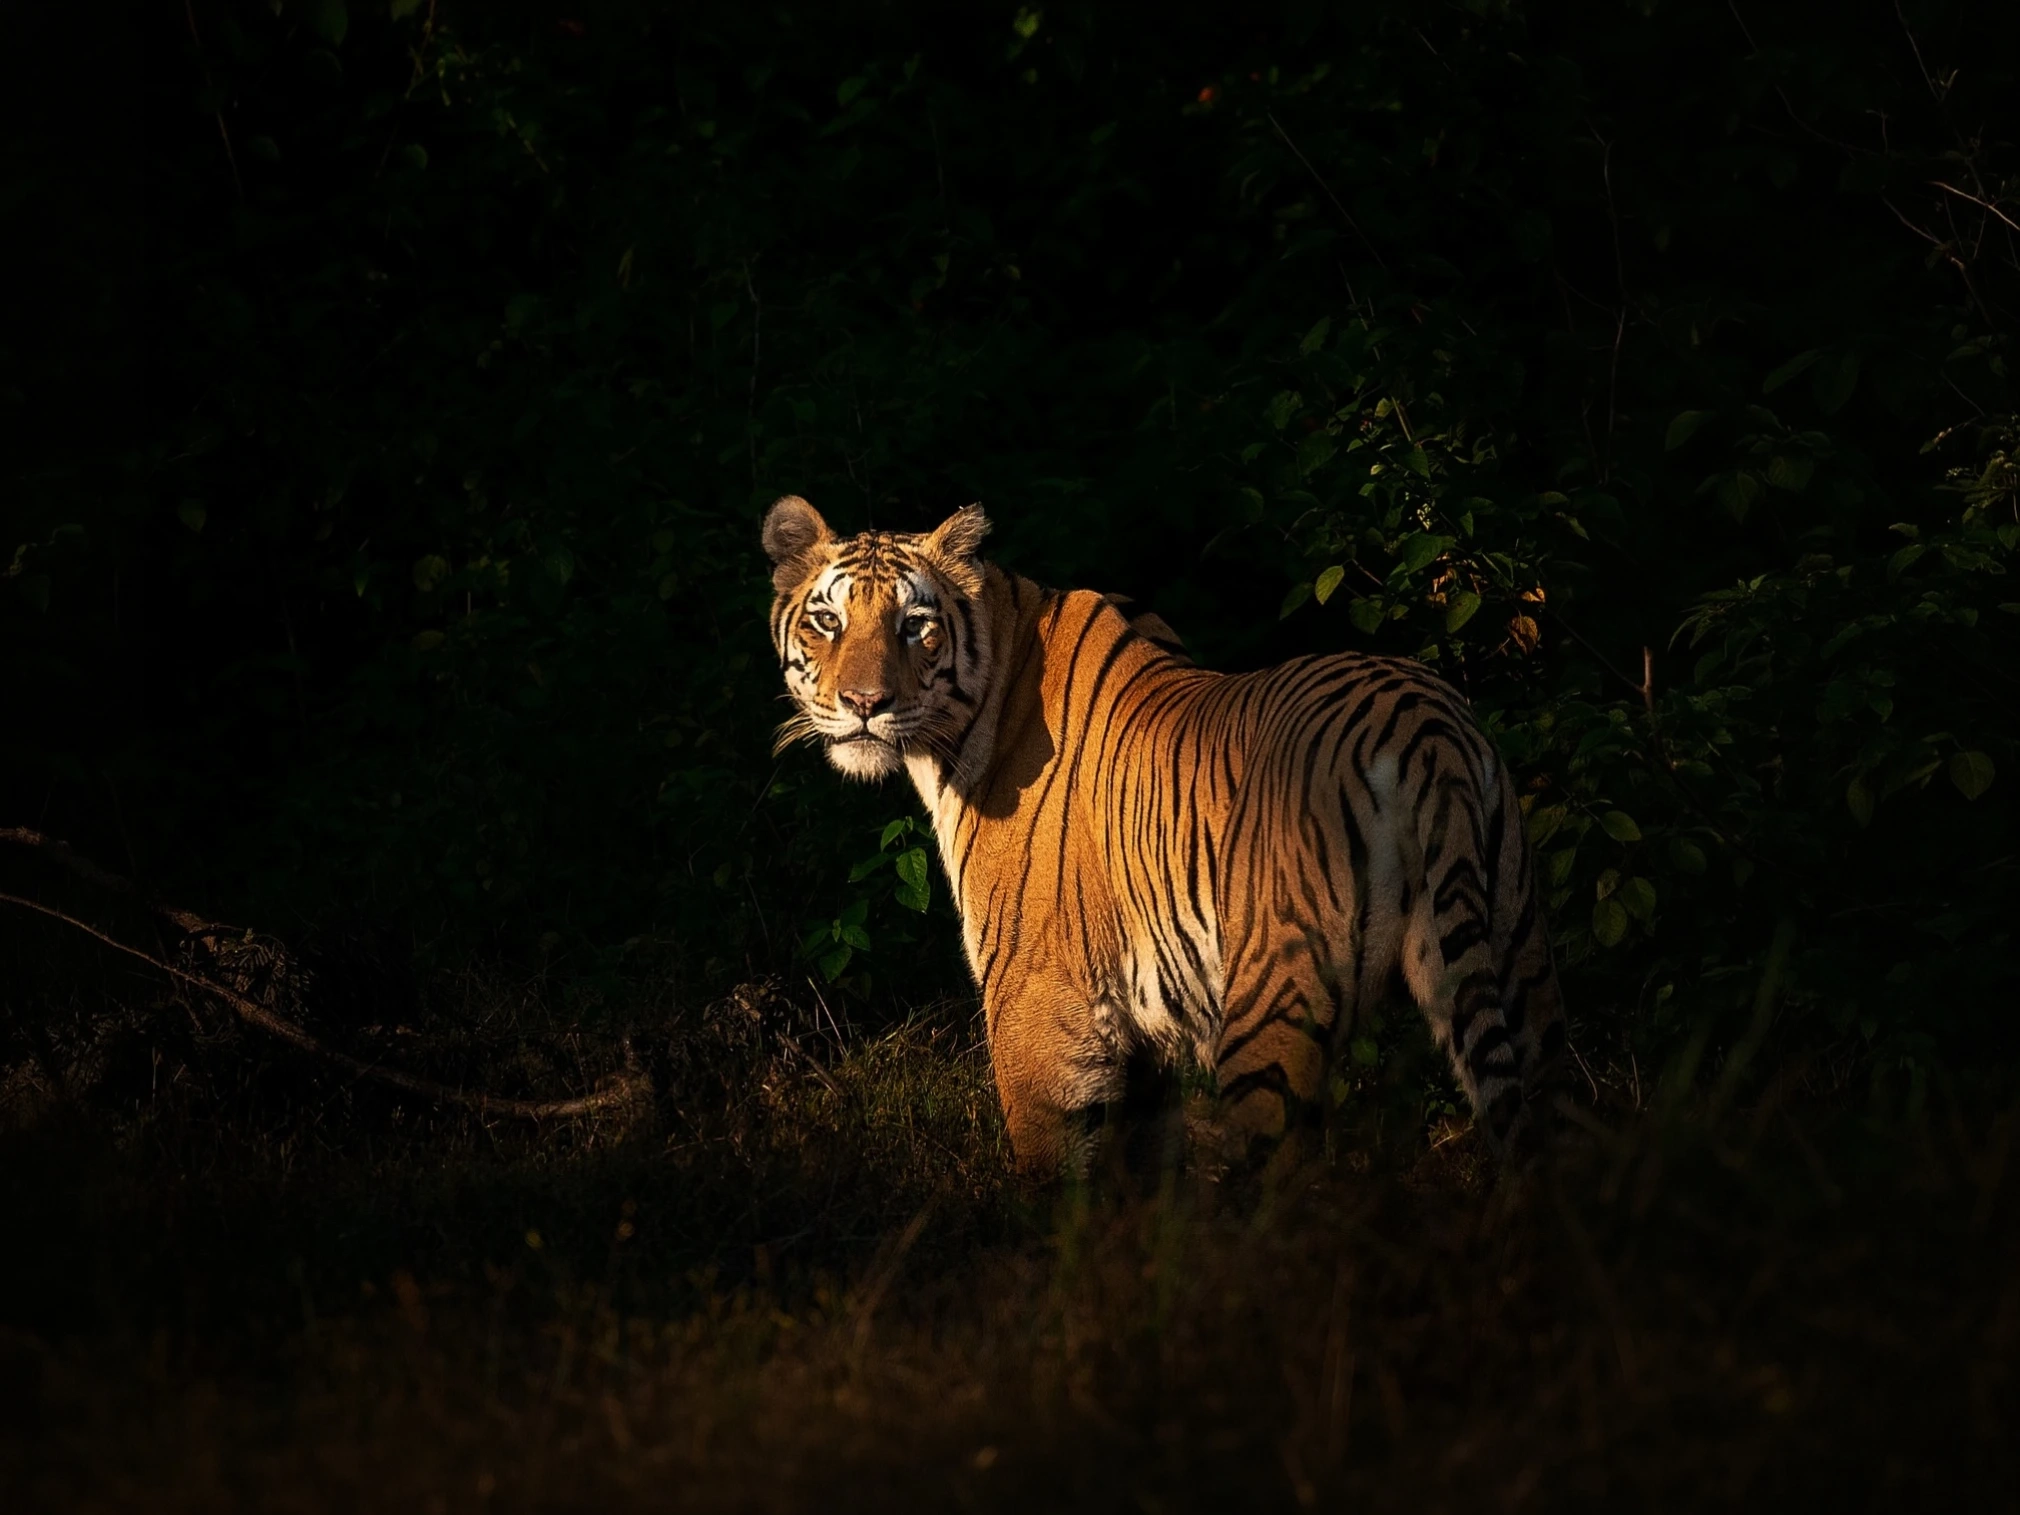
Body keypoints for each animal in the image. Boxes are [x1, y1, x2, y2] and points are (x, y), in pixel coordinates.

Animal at [762, 495, 1565, 1175]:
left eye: (914, 625)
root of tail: (1430, 729)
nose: (864, 703)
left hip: (1271, 1009)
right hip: (1516, 968)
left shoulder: (1038, 1015)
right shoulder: (1140, 1049)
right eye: (827, 622)